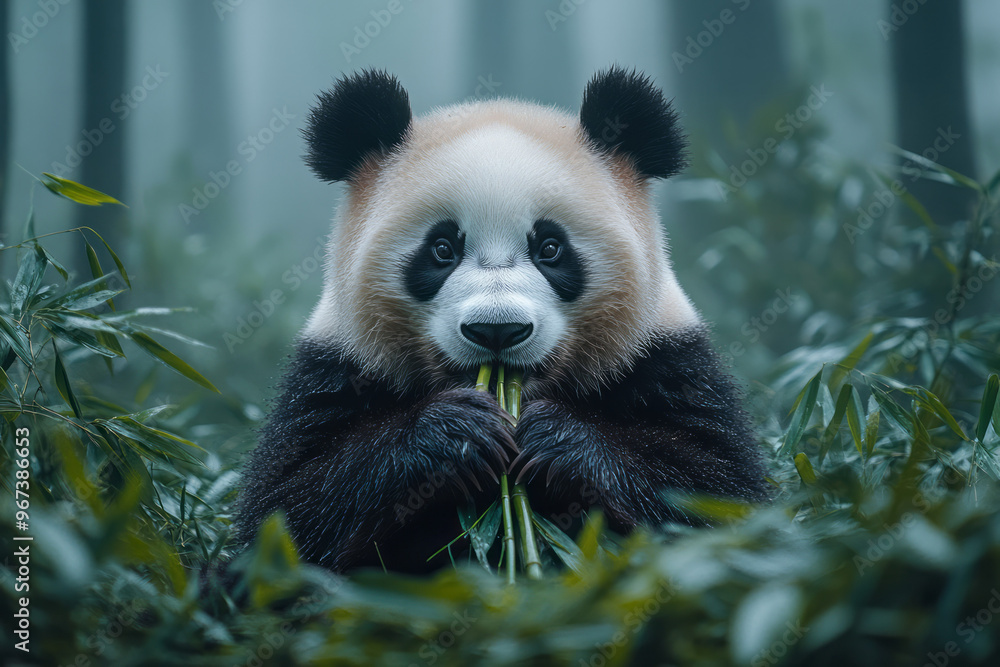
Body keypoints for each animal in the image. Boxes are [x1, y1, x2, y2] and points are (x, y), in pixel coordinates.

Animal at [234, 66, 768, 574]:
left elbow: (714, 490)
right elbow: (288, 506)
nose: (497, 330)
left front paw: (557, 439)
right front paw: (454, 434)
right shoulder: (339, 364)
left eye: (550, 248)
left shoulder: (663, 354)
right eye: (442, 249)